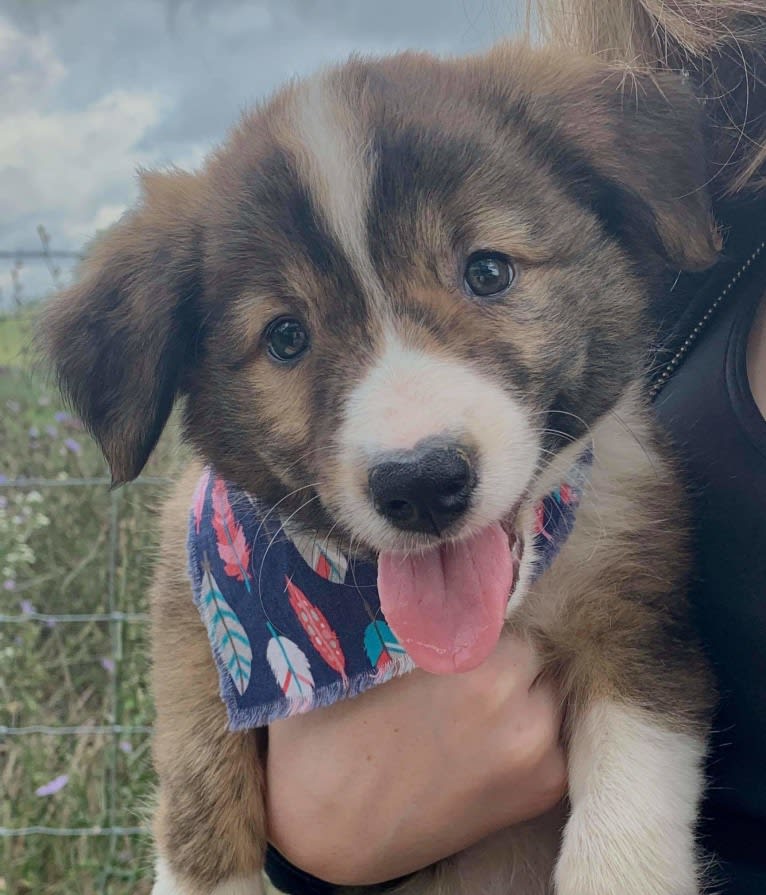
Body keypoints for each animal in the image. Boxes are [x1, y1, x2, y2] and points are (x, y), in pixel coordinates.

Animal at [45, 40, 724, 895]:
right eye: (287, 337)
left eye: (488, 271)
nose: (423, 484)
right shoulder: (187, 597)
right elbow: (199, 772)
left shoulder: (639, 617)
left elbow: (624, 817)